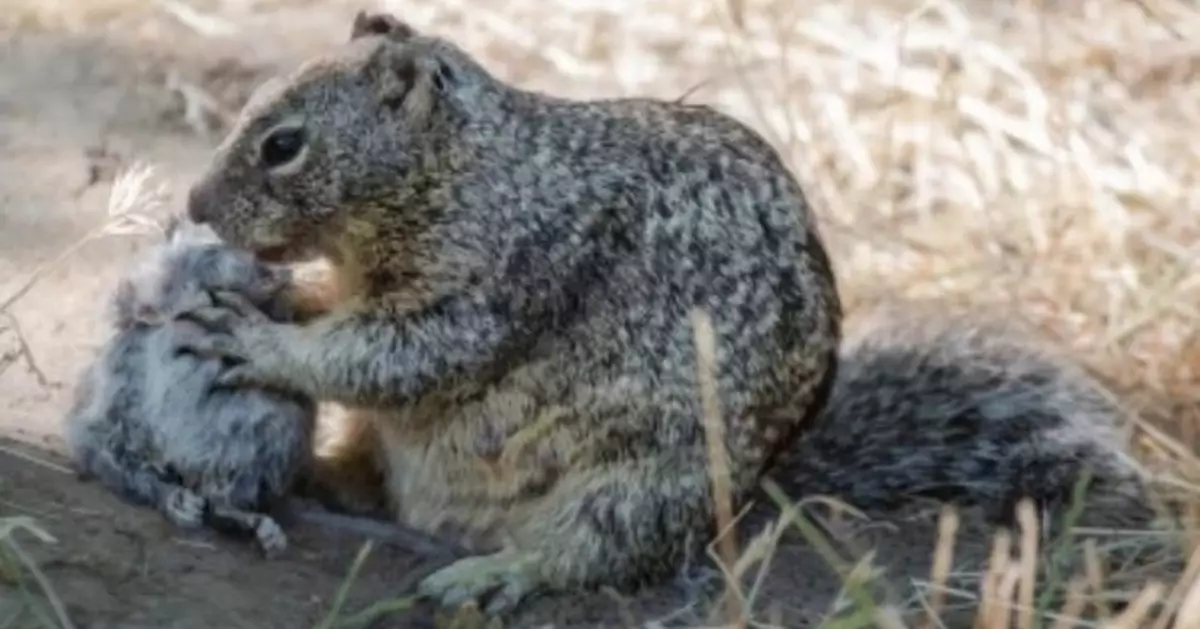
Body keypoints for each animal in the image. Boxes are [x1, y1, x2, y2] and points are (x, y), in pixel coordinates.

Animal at [61, 214, 321, 554]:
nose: (273, 267)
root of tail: (190, 469)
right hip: (115, 414)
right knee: (118, 453)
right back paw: (180, 501)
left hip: (268, 437)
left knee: (222, 498)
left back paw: (245, 522)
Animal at [174, 11, 1156, 614]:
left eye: (284, 144)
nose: (192, 205)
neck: (470, 168)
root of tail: (756, 488)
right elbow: (342, 317)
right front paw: (278, 296)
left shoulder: (489, 286)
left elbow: (389, 356)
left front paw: (257, 338)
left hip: (633, 486)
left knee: (587, 555)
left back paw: (492, 572)